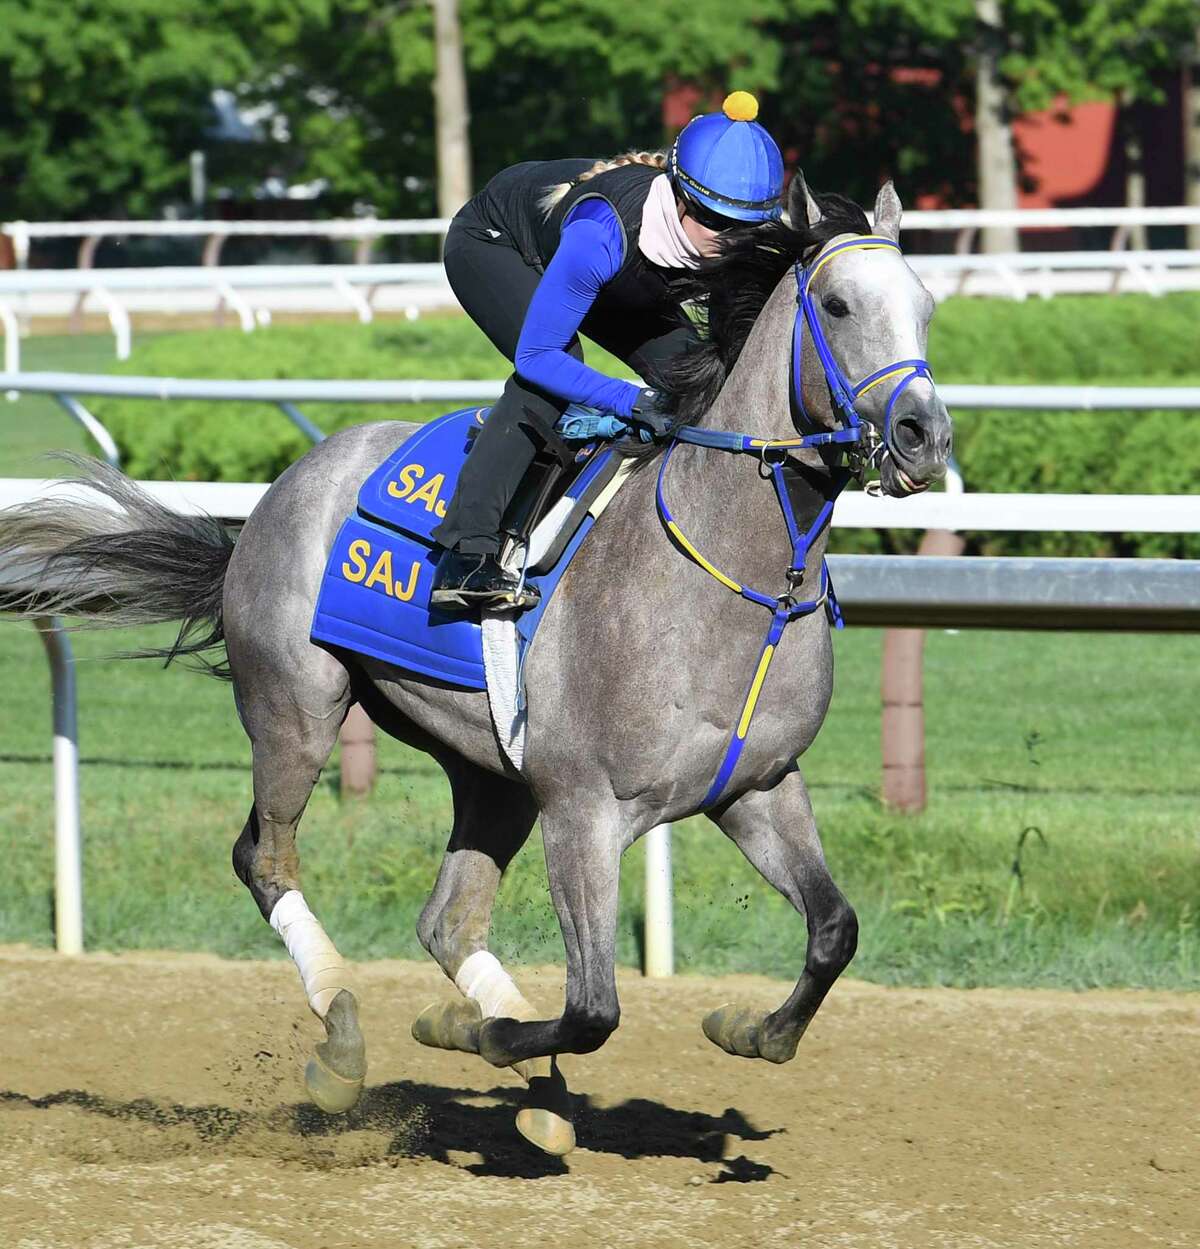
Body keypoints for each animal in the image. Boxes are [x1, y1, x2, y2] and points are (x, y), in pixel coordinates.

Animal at [4, 176, 949, 1149]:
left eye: (926, 306)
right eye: (837, 306)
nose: (923, 434)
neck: (732, 575)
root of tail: (281, 490)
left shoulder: (756, 785)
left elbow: (835, 928)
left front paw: (745, 1027)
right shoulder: (584, 809)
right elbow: (594, 1008)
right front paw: (469, 1032)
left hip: (490, 770)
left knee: (446, 920)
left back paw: (536, 1091)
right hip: (297, 710)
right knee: (265, 858)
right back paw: (348, 1039)